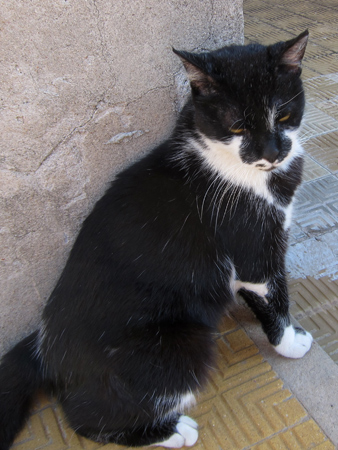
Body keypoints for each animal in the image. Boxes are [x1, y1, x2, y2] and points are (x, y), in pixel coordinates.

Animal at [0, 29, 312, 448]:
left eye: (283, 115)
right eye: (236, 127)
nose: (273, 153)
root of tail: (43, 350)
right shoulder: (253, 244)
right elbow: (274, 293)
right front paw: (290, 341)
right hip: (185, 344)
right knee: (87, 420)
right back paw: (172, 430)